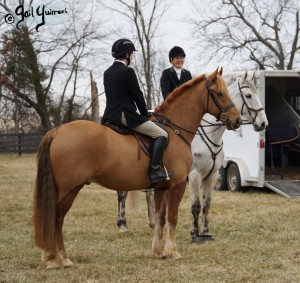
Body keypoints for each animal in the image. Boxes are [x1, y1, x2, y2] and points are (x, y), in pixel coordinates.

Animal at [32, 67, 240, 270]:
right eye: (220, 93)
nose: (237, 120)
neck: (174, 130)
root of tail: (57, 131)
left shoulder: (161, 188)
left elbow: (160, 217)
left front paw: (158, 251)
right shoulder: (178, 185)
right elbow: (172, 217)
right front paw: (172, 252)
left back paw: (51, 257)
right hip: (69, 189)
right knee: (56, 219)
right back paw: (60, 259)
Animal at [116, 72, 268, 236]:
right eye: (248, 95)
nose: (263, 123)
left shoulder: (212, 176)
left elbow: (207, 204)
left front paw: (205, 231)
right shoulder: (194, 175)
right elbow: (196, 205)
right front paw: (195, 232)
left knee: (149, 193)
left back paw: (153, 222)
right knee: (122, 193)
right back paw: (122, 224)